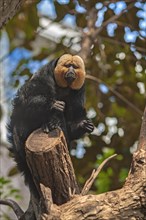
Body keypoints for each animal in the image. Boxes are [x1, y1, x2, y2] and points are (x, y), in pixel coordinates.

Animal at [8, 53, 94, 198]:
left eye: (75, 67)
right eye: (67, 65)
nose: (71, 71)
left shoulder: (79, 90)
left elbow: (73, 120)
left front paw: (83, 125)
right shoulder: (43, 76)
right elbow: (25, 101)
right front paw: (52, 104)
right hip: (20, 134)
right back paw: (50, 123)